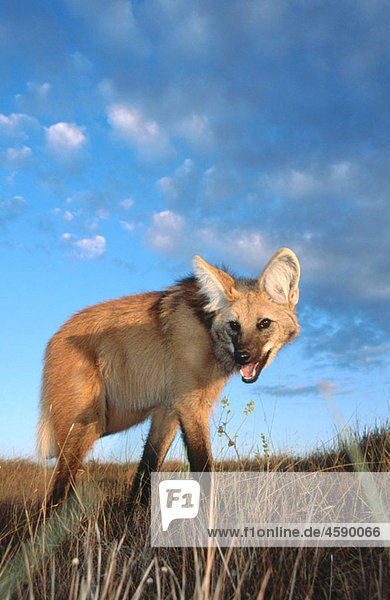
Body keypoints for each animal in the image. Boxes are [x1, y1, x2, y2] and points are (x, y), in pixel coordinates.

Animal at [38, 248, 300, 506]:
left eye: (264, 323)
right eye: (234, 325)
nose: (243, 356)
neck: (207, 333)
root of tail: (55, 336)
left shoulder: (168, 411)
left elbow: (146, 472)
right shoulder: (190, 406)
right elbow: (203, 469)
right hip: (87, 425)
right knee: (53, 496)